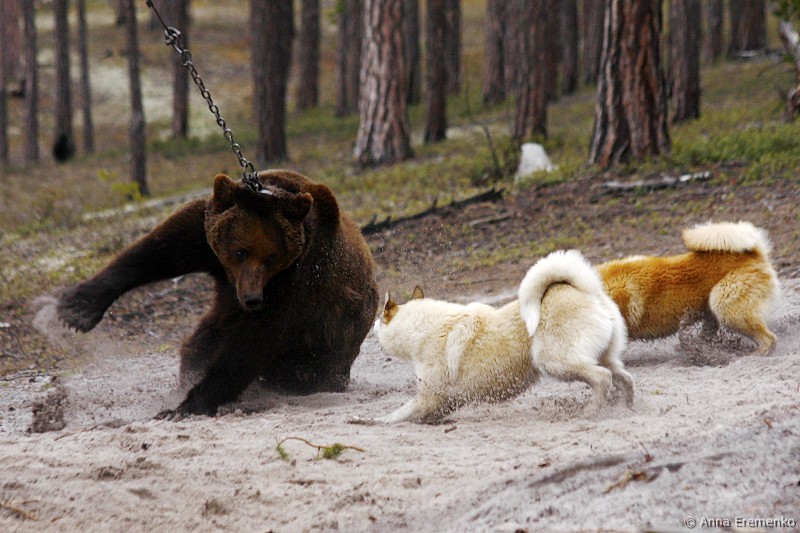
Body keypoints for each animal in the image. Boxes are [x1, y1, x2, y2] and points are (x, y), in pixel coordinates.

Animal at [57, 170, 379, 419]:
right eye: (241, 251)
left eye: (272, 257)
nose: (252, 299)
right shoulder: (208, 241)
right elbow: (160, 249)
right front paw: (77, 309)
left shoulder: (298, 285)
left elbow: (253, 343)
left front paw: (186, 406)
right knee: (201, 343)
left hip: (323, 351)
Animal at [365, 250, 633, 424]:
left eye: (380, 318)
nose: (373, 325)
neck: (423, 328)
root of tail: (587, 291)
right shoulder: (441, 402)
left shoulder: (429, 397)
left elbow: (397, 414)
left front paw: (369, 420)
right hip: (601, 357)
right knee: (624, 378)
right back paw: (627, 407)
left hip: (556, 362)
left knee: (603, 378)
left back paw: (591, 412)